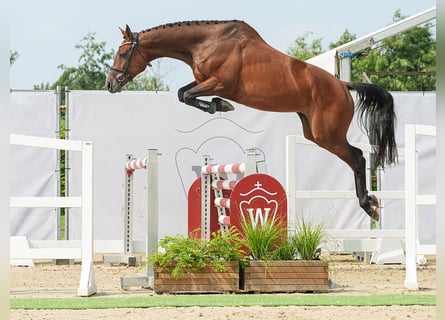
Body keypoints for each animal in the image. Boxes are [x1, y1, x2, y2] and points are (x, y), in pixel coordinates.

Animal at [106, 19, 396, 220]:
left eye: (123, 54)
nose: (110, 84)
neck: (204, 43)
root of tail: (343, 86)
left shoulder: (219, 83)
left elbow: (187, 94)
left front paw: (221, 105)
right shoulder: (205, 82)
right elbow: (182, 93)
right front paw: (218, 105)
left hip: (328, 135)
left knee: (358, 157)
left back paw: (369, 205)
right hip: (313, 133)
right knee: (354, 156)